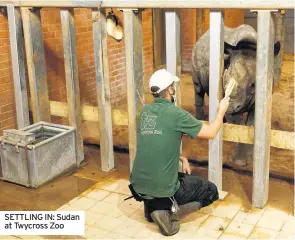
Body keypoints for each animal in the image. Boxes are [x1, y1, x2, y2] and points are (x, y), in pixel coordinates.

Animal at [192, 24, 282, 167]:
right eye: (225, 80)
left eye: (253, 85)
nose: (230, 107)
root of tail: (202, 36)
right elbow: (239, 127)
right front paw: (239, 162)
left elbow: (251, 125)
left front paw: (251, 155)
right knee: (198, 88)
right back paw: (201, 124)